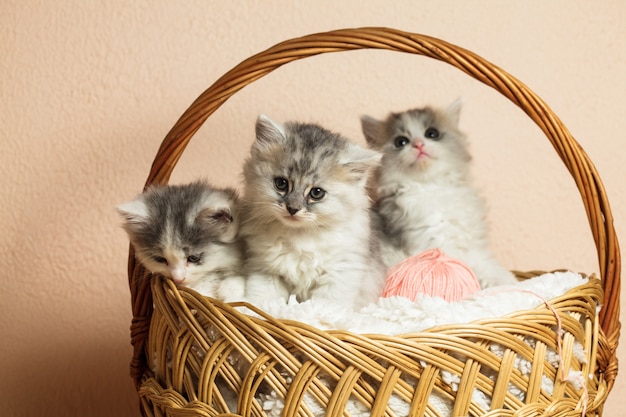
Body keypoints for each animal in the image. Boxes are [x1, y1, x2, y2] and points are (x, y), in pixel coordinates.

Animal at [239, 114, 386, 308]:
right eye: (281, 183)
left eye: (316, 193)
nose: (293, 209)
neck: (299, 236)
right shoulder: (265, 269)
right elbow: (262, 300)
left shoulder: (340, 273)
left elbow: (323, 307)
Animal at [358, 100, 516, 288]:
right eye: (401, 142)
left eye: (432, 134)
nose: (419, 144)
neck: (432, 187)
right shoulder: (432, 240)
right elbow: (467, 262)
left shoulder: (472, 241)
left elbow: (486, 261)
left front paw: (505, 279)